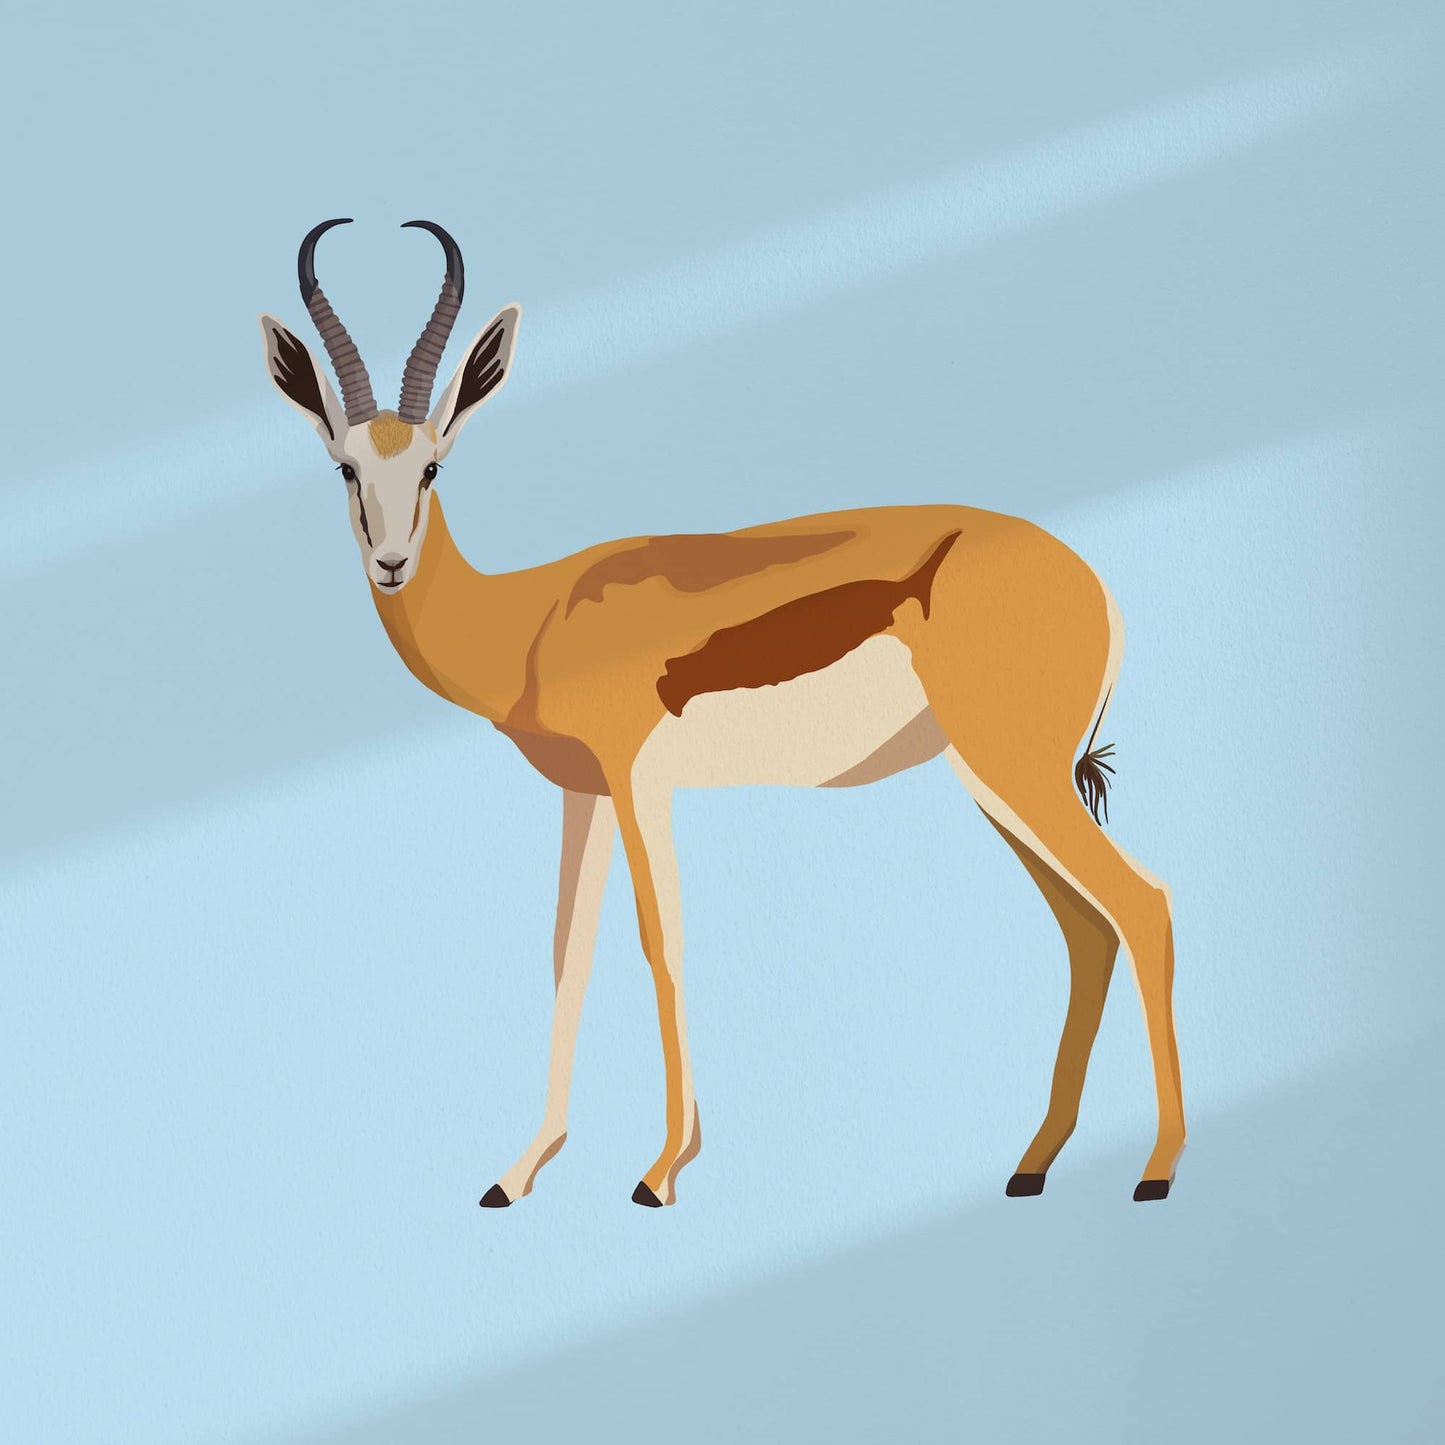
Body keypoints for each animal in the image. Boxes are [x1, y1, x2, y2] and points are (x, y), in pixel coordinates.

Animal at [260, 219, 1184, 1209]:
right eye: (345, 466)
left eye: (432, 465)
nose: (390, 563)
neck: (532, 619)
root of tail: (1093, 582)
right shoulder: (584, 792)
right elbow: (566, 952)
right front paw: (517, 1172)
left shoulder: (637, 781)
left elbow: (658, 942)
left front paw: (660, 1170)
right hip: (991, 780)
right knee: (1086, 930)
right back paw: (1032, 1163)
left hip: (1012, 768)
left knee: (1143, 904)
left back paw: (1155, 1169)